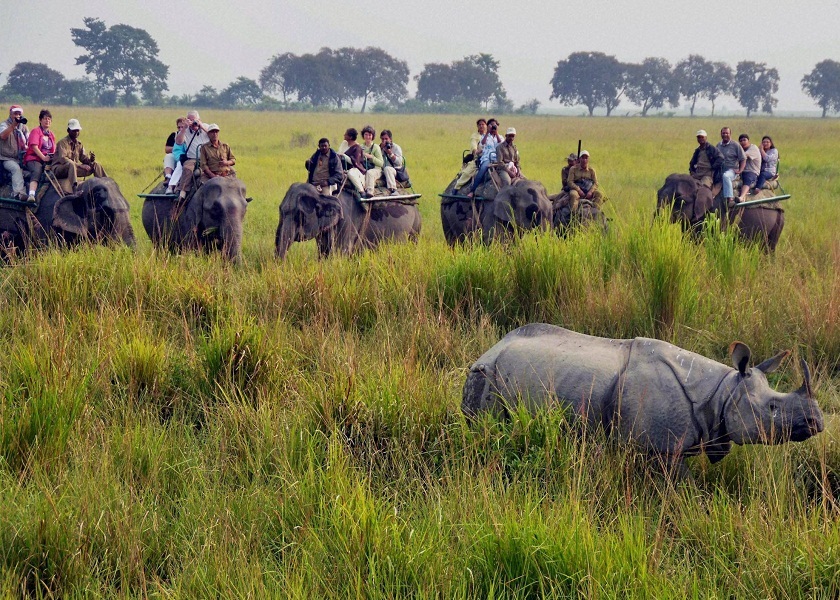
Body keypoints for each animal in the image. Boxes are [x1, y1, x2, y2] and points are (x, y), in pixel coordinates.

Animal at [276, 182, 420, 258]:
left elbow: (340, 254)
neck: (322, 194)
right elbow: (323, 253)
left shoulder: (346, 222)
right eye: (280, 212)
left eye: (299, 215)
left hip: (416, 227)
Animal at [652, 173, 784, 251]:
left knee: (769, 248)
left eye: (680, 200)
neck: (701, 185)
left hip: (779, 222)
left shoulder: (719, 214)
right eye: (657, 194)